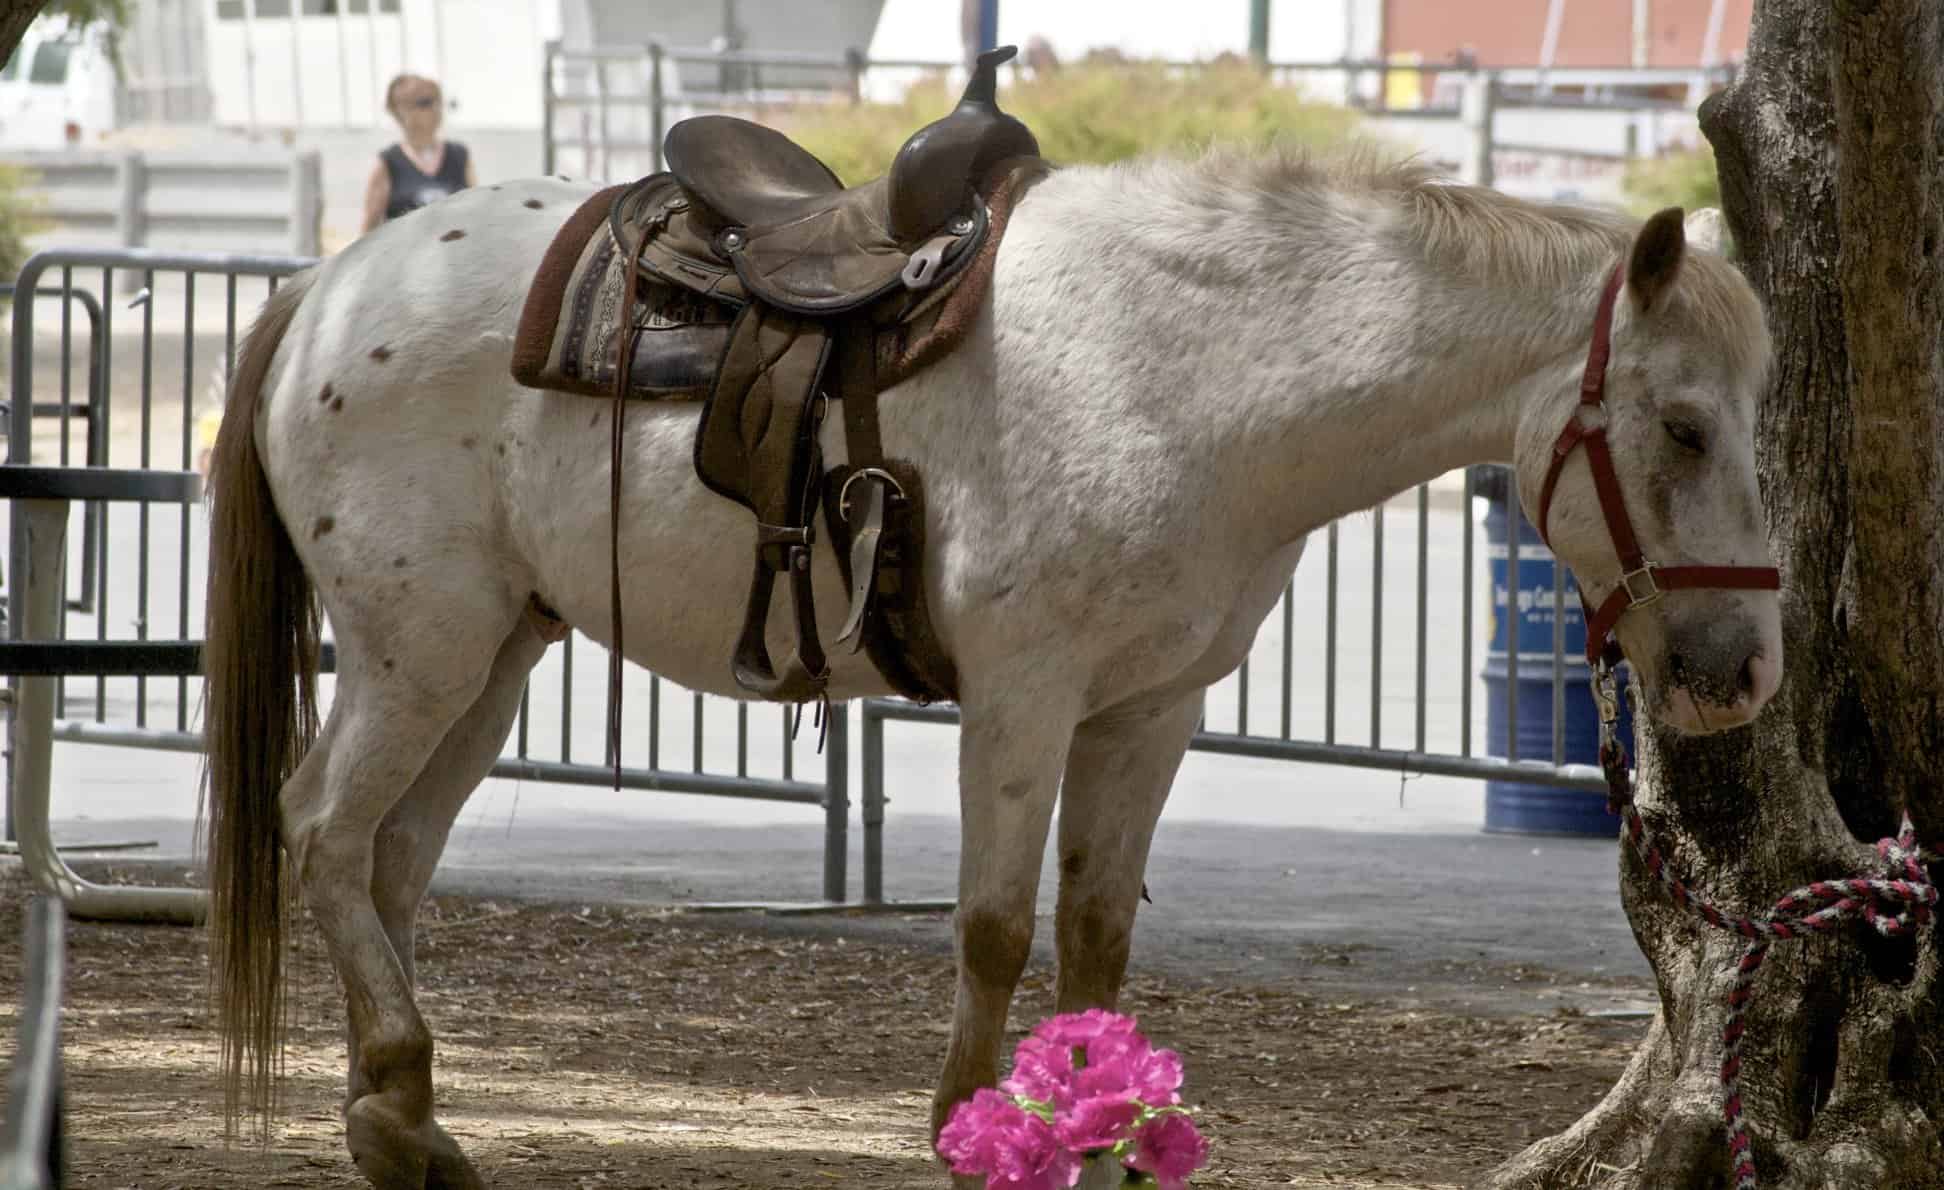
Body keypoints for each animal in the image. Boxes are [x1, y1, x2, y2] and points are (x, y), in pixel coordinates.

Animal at [197, 153, 1780, 1182]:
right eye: (1684, 427)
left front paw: (1108, 1140)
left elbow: (1095, 931)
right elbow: (996, 930)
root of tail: (325, 286)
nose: (1746, 669)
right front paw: (972, 1131)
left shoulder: (1151, 708)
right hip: (418, 647)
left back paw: (403, 1119)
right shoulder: (1024, 693)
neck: (1188, 373)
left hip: (495, 655)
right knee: (325, 829)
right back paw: (398, 1093)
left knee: (392, 858)